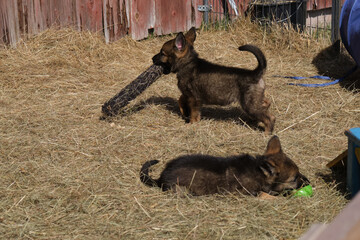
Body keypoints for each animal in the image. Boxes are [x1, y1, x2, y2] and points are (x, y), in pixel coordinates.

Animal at [141, 136, 310, 196]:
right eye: (294, 179)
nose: (308, 182)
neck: (257, 172)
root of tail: (160, 178)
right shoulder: (249, 192)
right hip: (182, 189)